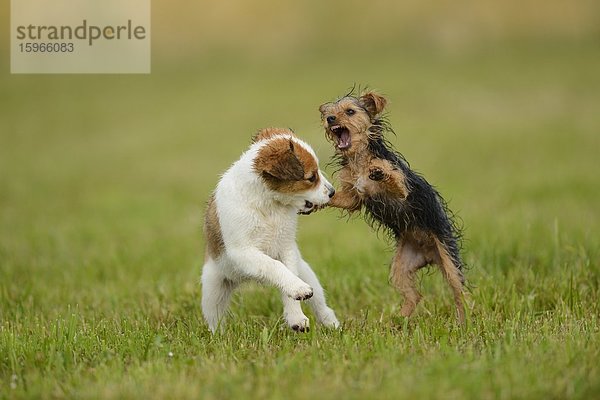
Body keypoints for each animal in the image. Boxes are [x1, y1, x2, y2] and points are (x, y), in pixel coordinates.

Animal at [204, 128, 340, 332]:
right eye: (311, 177)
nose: (332, 193)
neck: (268, 204)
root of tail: (241, 279)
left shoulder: (286, 247)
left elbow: (287, 279)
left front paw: (296, 316)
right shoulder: (242, 252)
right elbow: (273, 265)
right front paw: (297, 290)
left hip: (306, 271)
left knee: (319, 301)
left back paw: (330, 322)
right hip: (213, 289)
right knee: (215, 318)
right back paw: (218, 335)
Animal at [322, 92, 466, 324]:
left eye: (350, 111)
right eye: (328, 112)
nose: (330, 119)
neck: (359, 160)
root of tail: (429, 254)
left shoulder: (403, 191)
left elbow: (393, 178)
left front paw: (380, 171)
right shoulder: (352, 196)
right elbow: (337, 197)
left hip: (447, 255)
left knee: (459, 292)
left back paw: (462, 322)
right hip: (401, 267)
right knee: (414, 296)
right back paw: (396, 321)